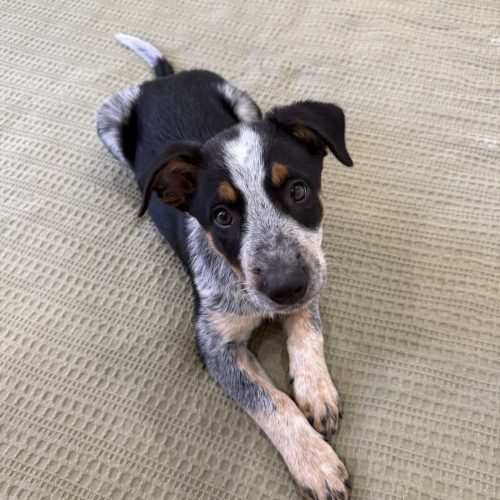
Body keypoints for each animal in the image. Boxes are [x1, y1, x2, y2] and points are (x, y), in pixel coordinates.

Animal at [96, 34, 353, 500]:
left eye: (299, 190)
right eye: (221, 217)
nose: (285, 287)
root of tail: (164, 79)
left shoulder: (312, 271)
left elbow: (308, 330)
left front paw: (316, 389)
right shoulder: (215, 346)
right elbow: (270, 402)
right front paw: (315, 462)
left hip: (242, 99)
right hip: (107, 118)